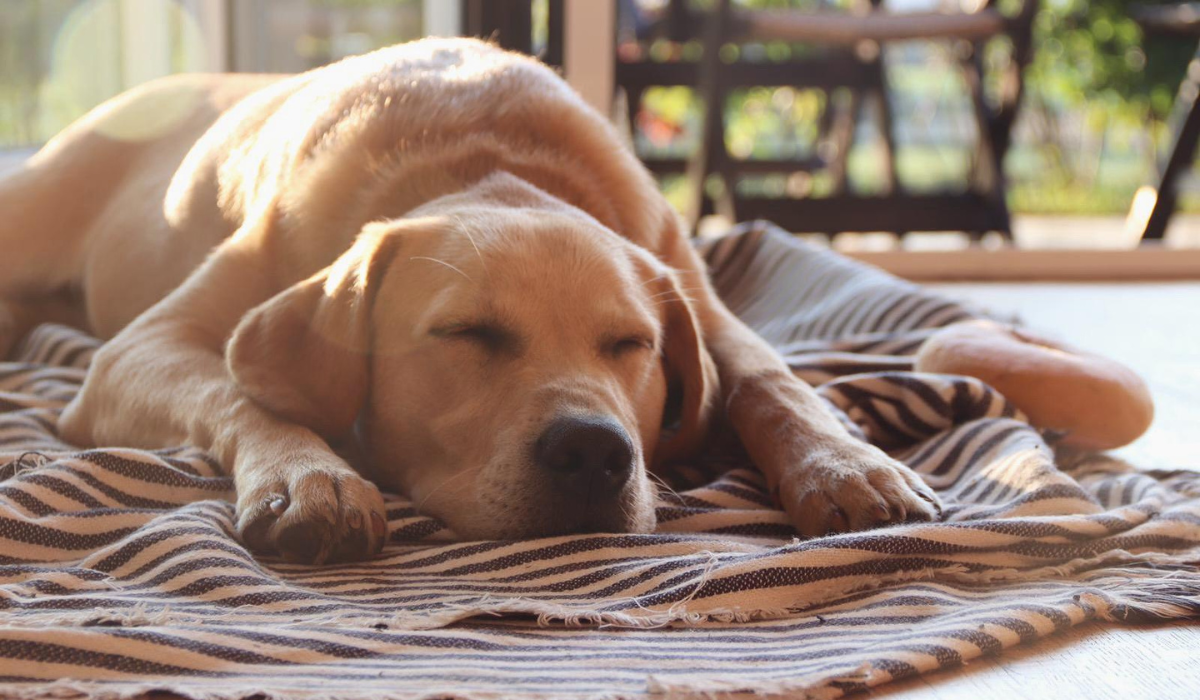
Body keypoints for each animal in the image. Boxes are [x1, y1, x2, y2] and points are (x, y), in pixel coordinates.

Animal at [0, 38, 936, 564]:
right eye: (465, 334)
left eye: (630, 345)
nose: (595, 452)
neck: (487, 161)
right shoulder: (144, 345)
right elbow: (241, 391)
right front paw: (310, 475)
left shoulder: (700, 301)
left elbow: (769, 380)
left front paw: (844, 463)